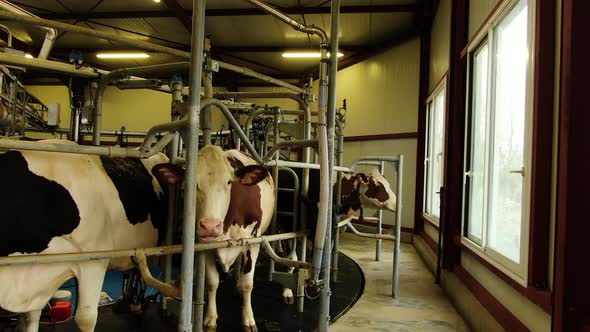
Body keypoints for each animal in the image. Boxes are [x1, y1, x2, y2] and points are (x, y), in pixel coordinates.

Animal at [195, 147, 276, 332]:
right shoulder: (206, 246)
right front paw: (210, 319)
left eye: (228, 182)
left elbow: (248, 284)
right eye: (193, 183)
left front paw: (248, 320)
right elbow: (212, 282)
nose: (210, 226)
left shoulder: (253, 243)